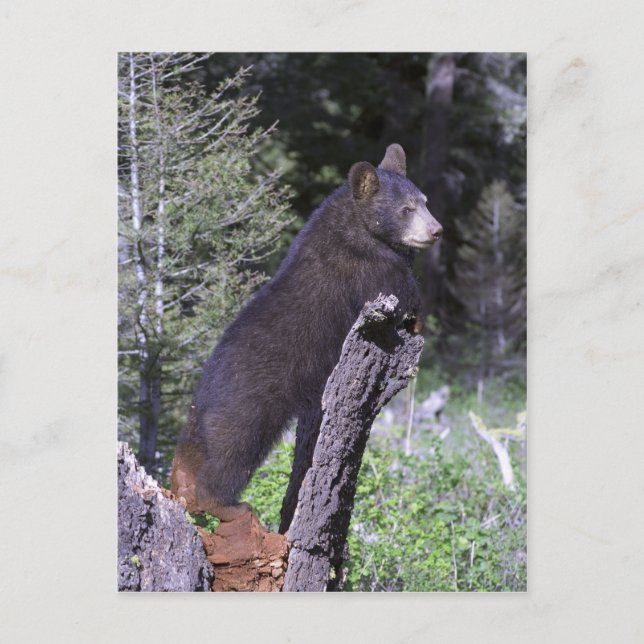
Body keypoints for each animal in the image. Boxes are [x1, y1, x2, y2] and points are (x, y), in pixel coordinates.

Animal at [171, 143, 443, 533]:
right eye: (406, 209)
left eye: (424, 201)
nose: (436, 230)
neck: (357, 225)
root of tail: (202, 397)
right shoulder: (367, 268)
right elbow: (403, 293)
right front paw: (417, 321)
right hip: (250, 405)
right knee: (233, 452)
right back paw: (229, 505)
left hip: (202, 424)